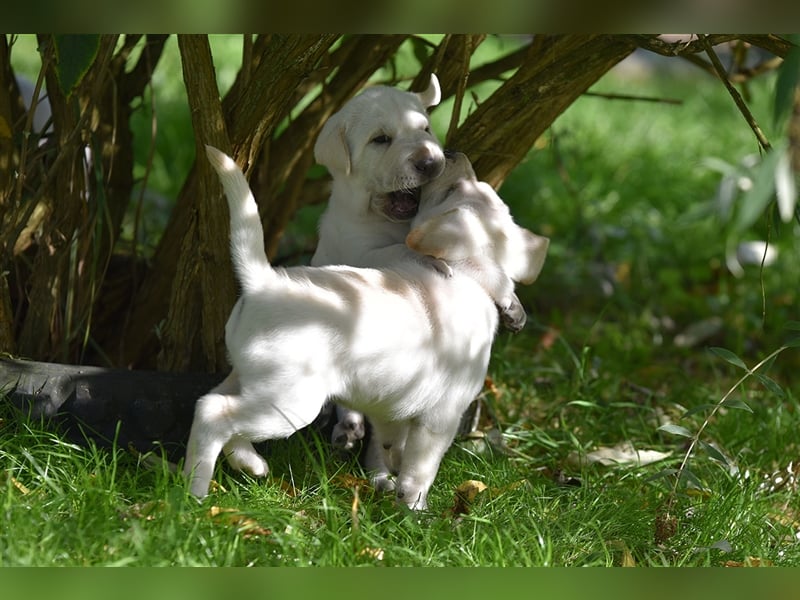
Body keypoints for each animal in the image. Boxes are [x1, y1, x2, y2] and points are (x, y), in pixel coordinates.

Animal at [186, 148, 552, 508]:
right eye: (453, 189)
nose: (452, 152)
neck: (468, 277)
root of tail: (265, 282)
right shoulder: (440, 418)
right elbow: (420, 468)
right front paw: (413, 508)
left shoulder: (395, 406)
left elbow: (390, 444)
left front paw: (386, 479)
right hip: (290, 401)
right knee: (213, 414)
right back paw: (195, 492)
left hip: (251, 380)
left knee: (214, 404)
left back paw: (248, 463)